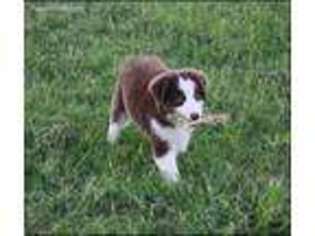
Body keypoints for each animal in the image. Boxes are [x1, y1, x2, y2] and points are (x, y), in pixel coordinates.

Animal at [107, 55, 209, 183]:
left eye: (197, 96)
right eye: (179, 100)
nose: (195, 116)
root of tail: (137, 57)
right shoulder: (161, 138)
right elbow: (168, 164)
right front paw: (177, 184)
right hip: (120, 98)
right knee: (116, 119)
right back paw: (111, 141)